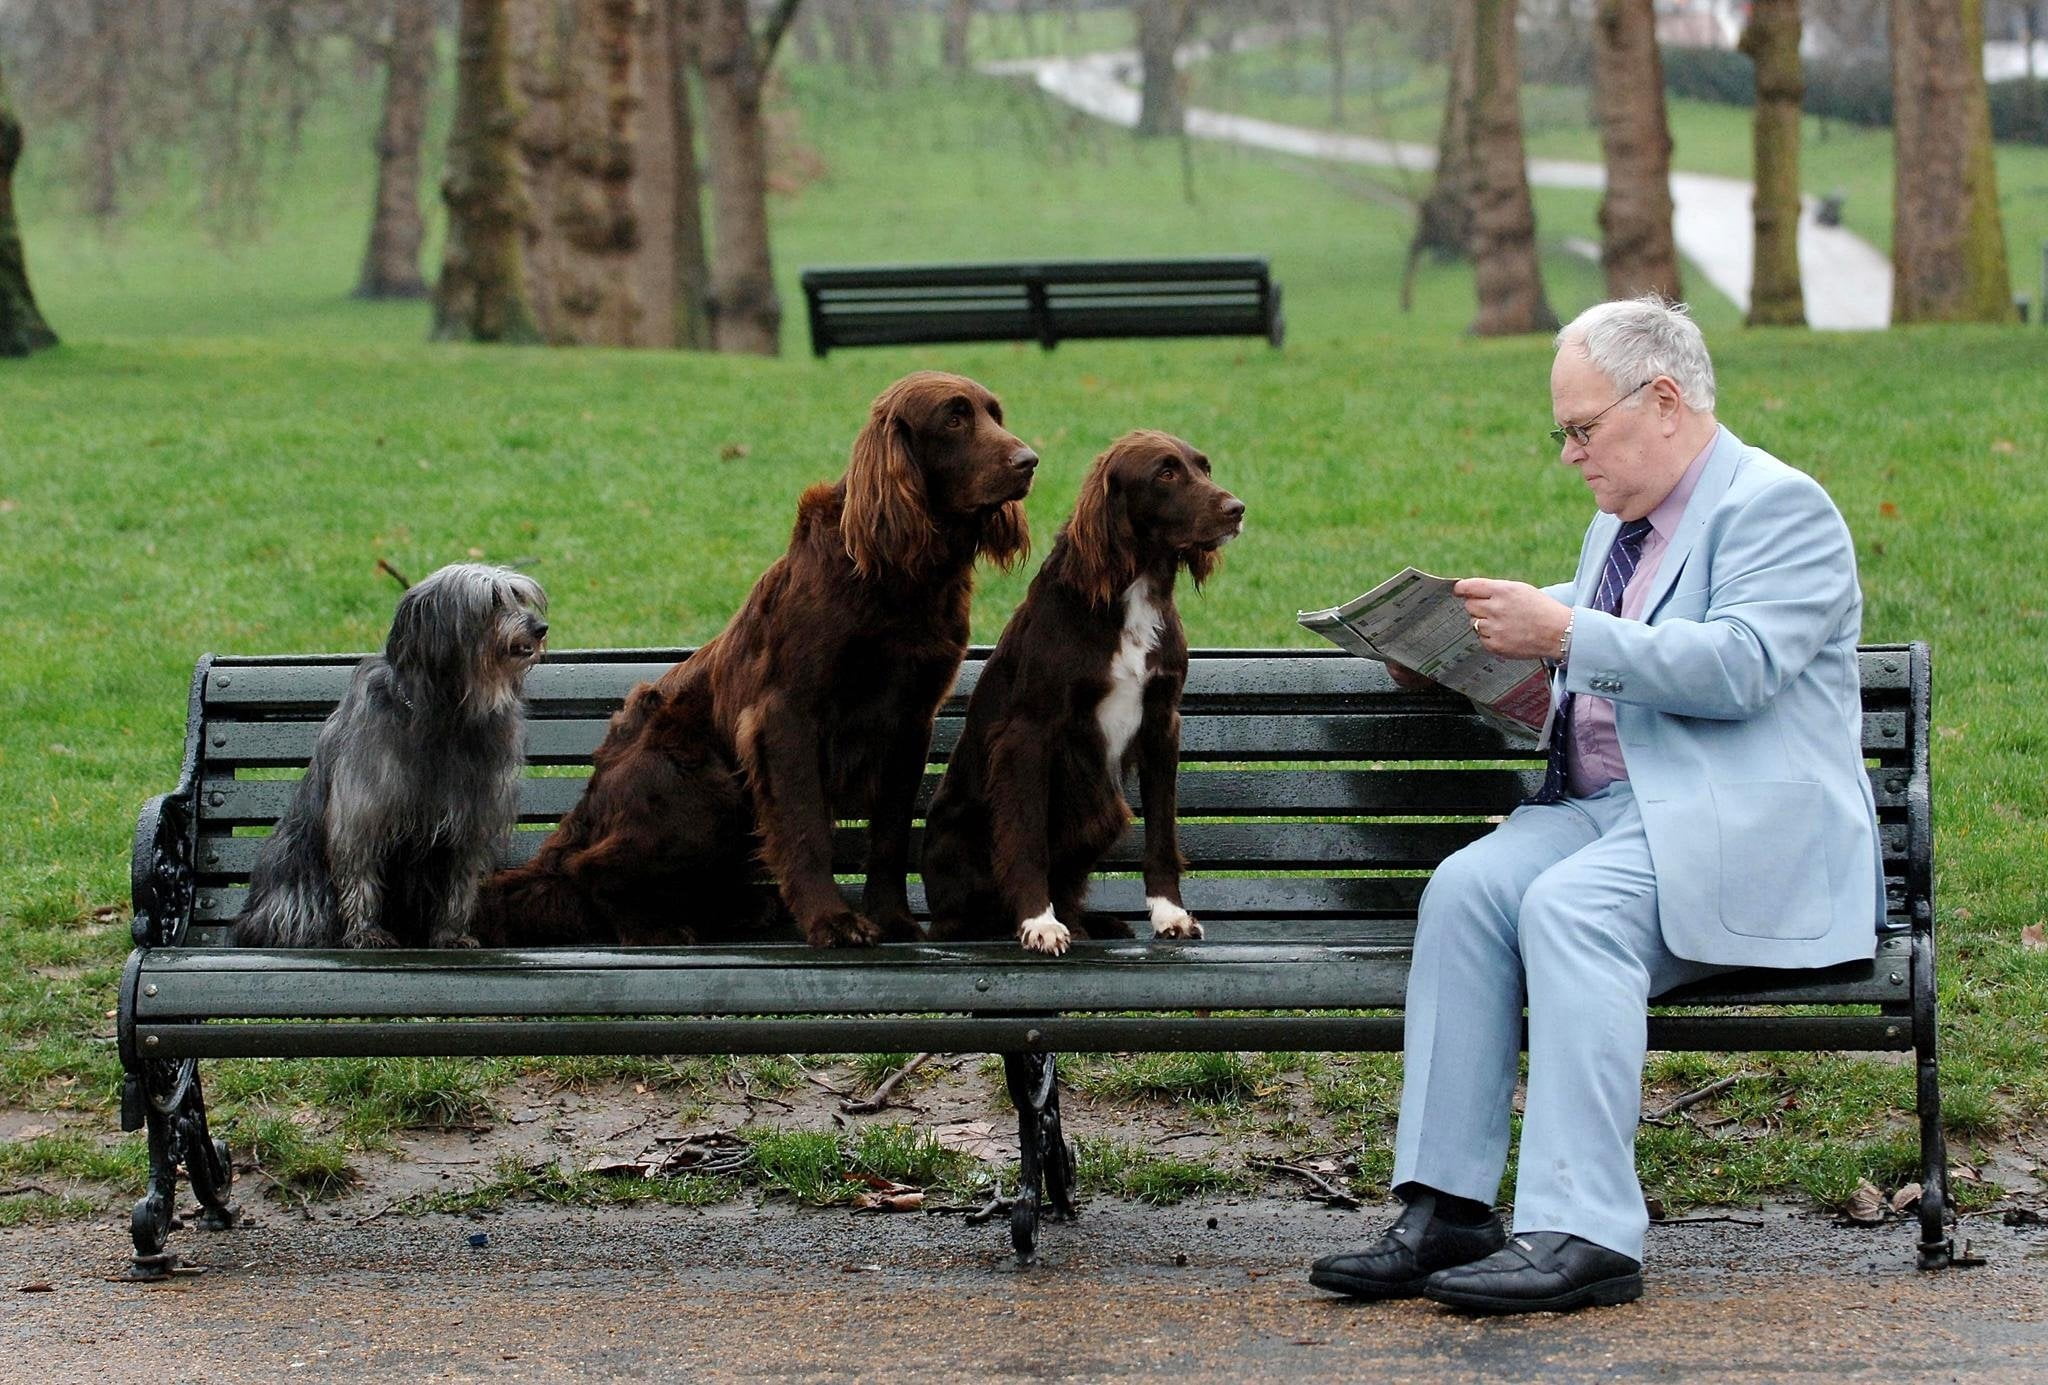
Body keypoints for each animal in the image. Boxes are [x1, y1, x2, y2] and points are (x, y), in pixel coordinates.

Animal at [233, 565, 548, 950]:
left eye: (519, 597)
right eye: (491, 602)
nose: (540, 627)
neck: (447, 716)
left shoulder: (470, 821)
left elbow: (459, 886)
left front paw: (452, 934)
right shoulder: (362, 814)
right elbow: (360, 874)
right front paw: (365, 932)